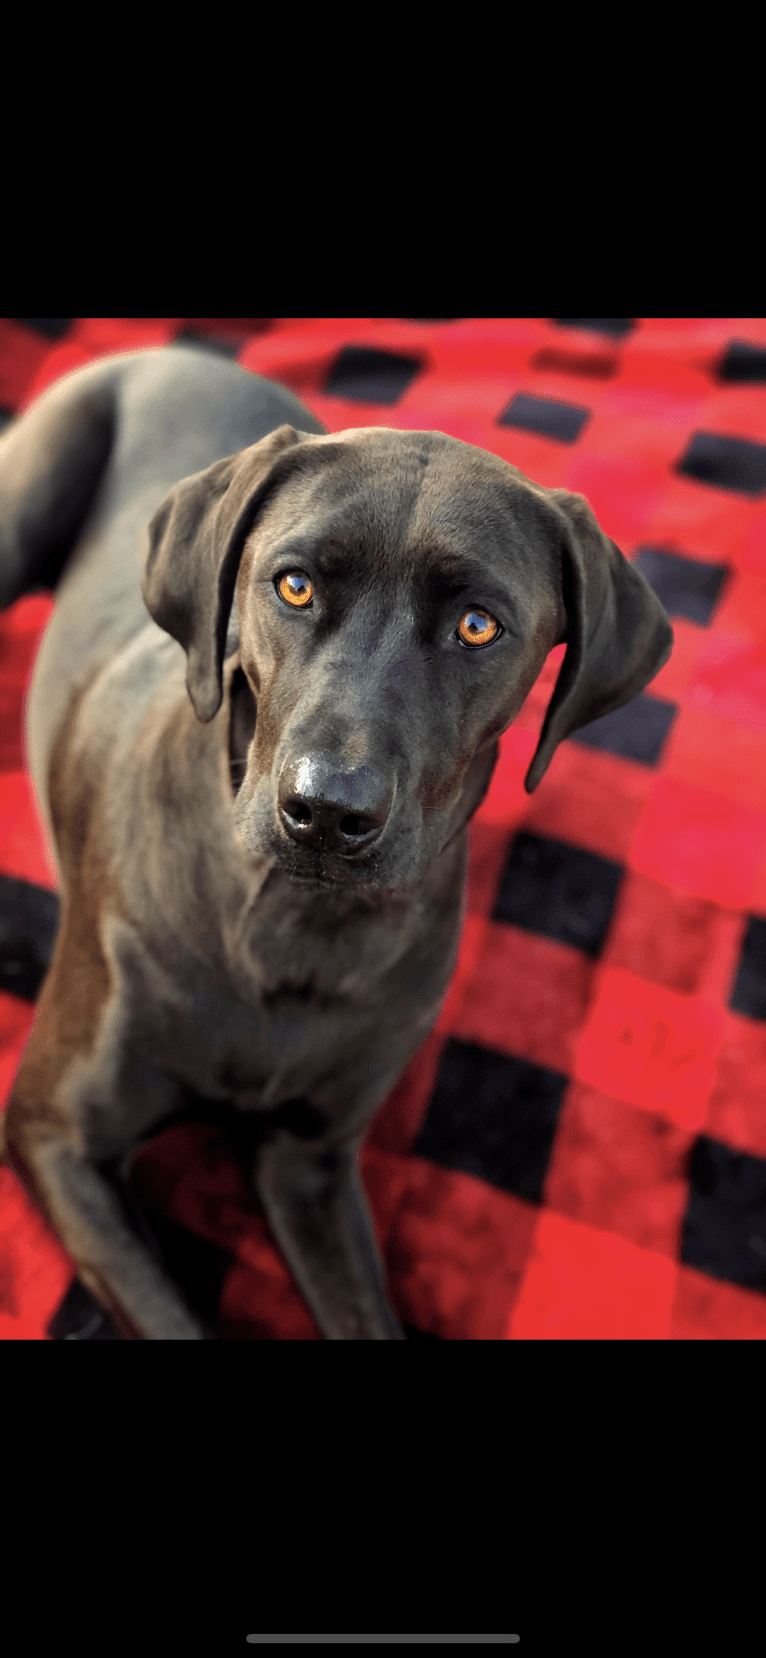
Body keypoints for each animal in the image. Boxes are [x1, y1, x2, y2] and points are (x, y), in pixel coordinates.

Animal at [0, 346, 669, 1333]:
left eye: (478, 625)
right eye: (295, 584)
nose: (325, 812)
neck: (294, 919)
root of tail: (178, 350)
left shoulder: (310, 1165)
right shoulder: (56, 1133)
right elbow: (170, 1316)